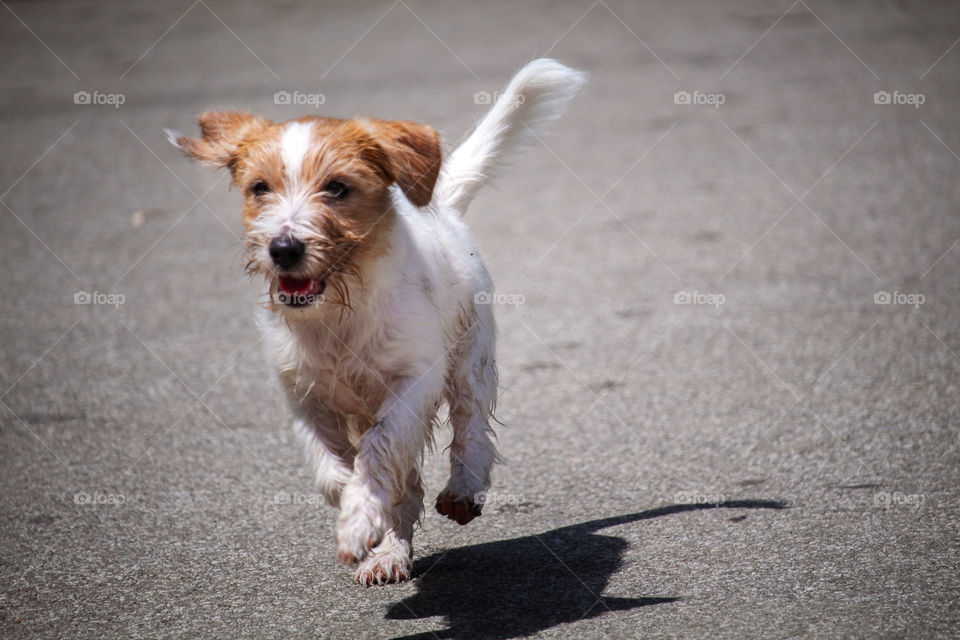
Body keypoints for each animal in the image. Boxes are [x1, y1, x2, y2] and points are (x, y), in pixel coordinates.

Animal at [166, 60, 584, 584]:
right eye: (259, 188)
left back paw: (463, 488)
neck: (338, 312)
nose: (283, 249)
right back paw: (390, 552)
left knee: (470, 427)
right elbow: (334, 472)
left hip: (471, 357)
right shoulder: (304, 397)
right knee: (408, 484)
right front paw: (362, 515)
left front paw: (359, 519)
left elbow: (380, 451)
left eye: (337, 187)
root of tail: (444, 210)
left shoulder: (411, 385)